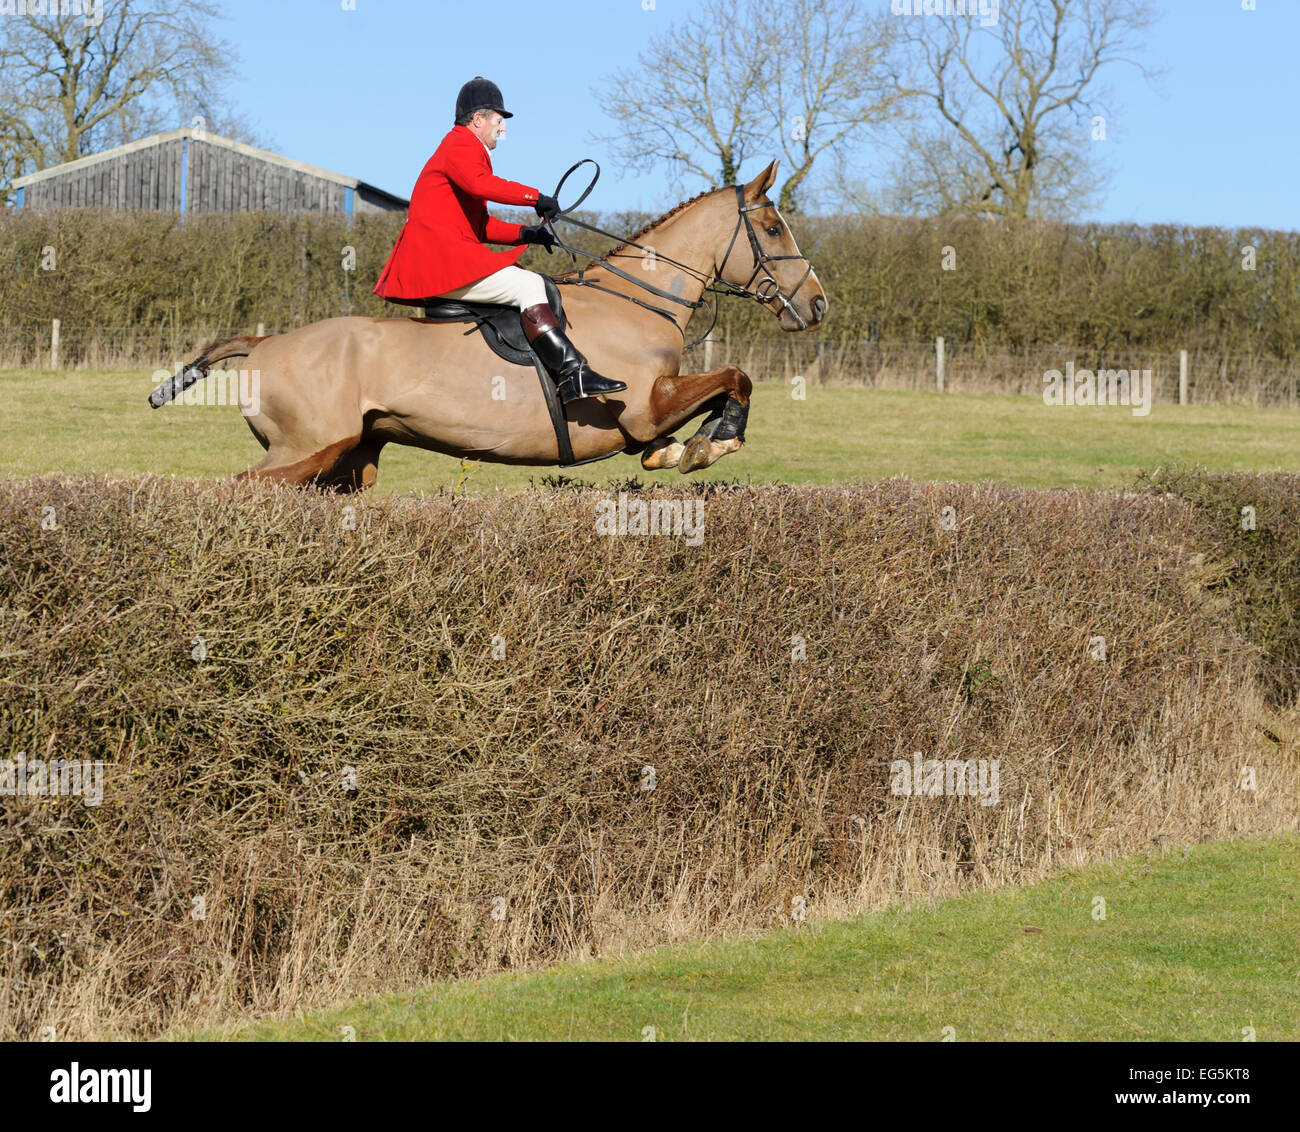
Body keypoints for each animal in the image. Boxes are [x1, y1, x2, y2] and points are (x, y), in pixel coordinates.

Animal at [149, 160, 821, 491]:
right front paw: (717, 441)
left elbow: (684, 428)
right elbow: (735, 378)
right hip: (305, 448)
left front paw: (691, 447)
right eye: (771, 229)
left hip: (348, 461)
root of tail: (266, 342)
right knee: (237, 490)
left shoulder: (651, 421)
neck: (635, 300)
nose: (817, 305)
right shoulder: (644, 407)